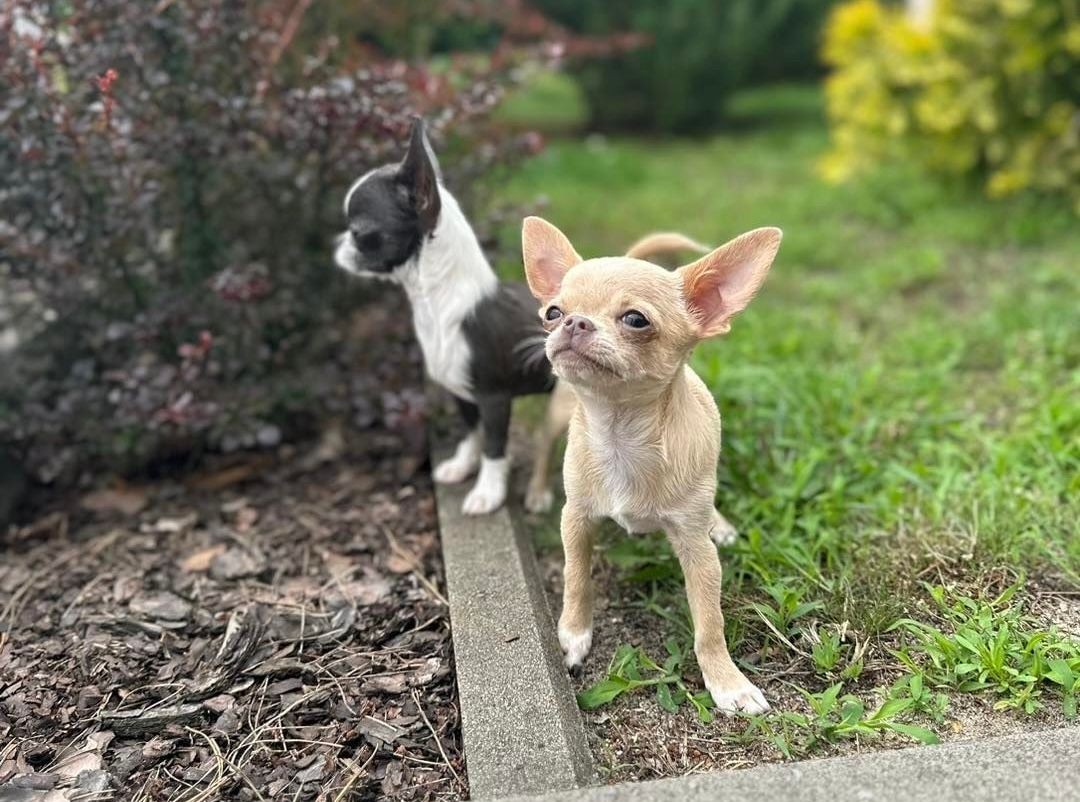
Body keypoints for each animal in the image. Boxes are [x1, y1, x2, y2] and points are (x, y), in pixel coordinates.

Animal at [332, 118, 561, 513]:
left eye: (359, 232)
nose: (339, 244)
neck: (434, 302)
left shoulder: (493, 398)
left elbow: (494, 446)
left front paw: (487, 492)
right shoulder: (462, 393)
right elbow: (471, 433)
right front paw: (462, 465)